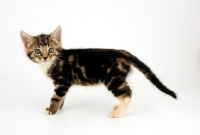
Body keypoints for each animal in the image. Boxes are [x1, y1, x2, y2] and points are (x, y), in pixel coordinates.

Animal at [20, 25, 177, 117]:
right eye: (37, 51)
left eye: (51, 50)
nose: (45, 57)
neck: (52, 62)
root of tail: (124, 53)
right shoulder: (61, 84)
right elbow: (61, 97)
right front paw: (60, 107)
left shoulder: (62, 81)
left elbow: (55, 97)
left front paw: (52, 109)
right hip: (117, 77)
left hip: (112, 78)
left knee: (128, 93)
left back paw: (118, 113)